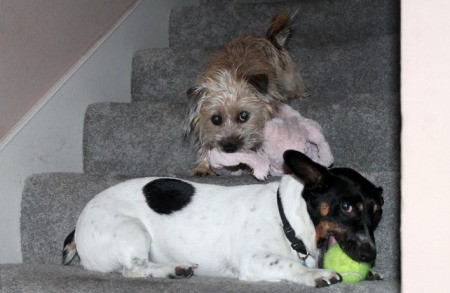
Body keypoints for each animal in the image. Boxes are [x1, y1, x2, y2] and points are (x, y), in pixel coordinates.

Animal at [61, 149, 382, 286]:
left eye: (378, 212)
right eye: (346, 206)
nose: (370, 255)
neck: (286, 218)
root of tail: (76, 230)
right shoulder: (255, 260)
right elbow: (289, 264)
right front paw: (316, 274)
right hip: (132, 230)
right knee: (134, 268)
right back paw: (174, 269)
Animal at [184, 11, 306, 176]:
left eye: (244, 116)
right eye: (216, 119)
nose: (229, 147)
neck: (230, 77)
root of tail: (267, 39)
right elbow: (205, 141)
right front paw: (203, 166)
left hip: (284, 72)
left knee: (295, 81)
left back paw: (296, 93)